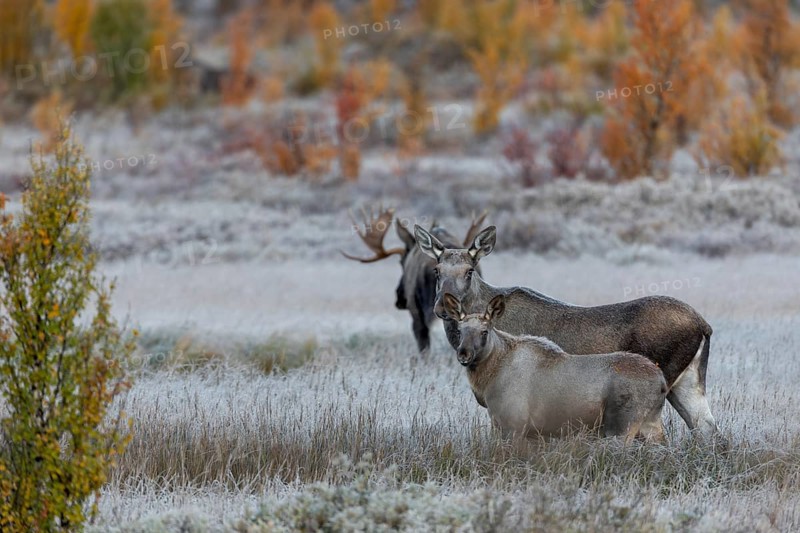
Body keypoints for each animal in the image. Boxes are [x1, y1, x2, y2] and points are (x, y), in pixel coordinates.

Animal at [442, 292, 667, 442]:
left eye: (484, 332)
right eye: (460, 331)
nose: (464, 354)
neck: (490, 375)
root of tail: (661, 382)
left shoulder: (512, 424)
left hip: (620, 428)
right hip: (651, 426)